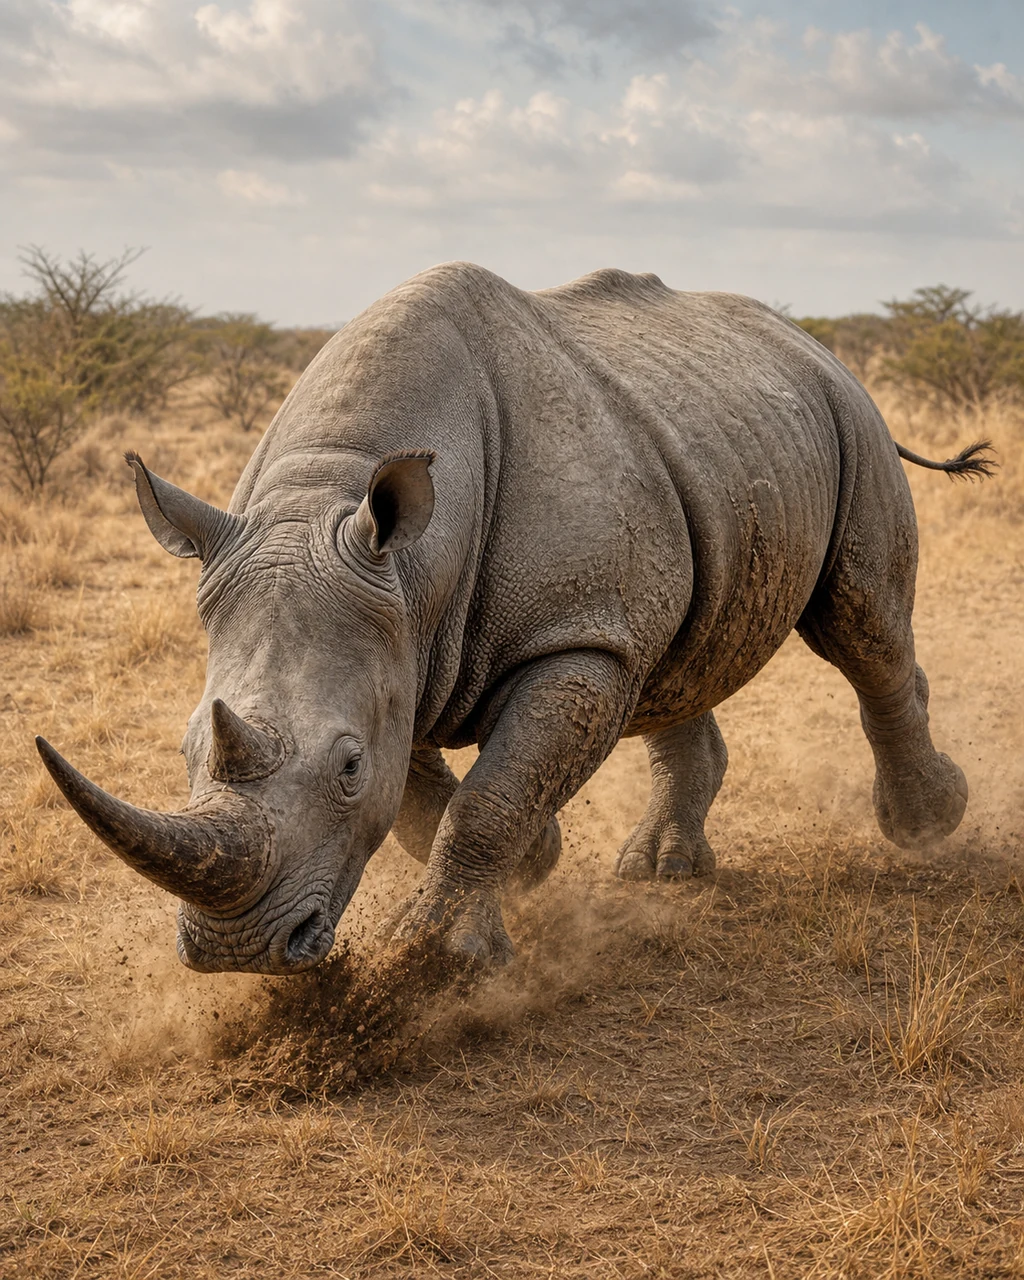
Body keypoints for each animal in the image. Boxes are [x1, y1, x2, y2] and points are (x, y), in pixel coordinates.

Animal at [36, 263, 992, 974]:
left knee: (859, 622)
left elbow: (489, 795)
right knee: (669, 659)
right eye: (185, 751)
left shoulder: (570, 633)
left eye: (346, 768)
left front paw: (439, 957)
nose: (236, 951)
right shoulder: (402, 638)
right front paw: (538, 863)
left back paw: (925, 824)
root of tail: (808, 341)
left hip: (848, 417)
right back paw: (662, 872)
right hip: (720, 440)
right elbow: (431, 794)